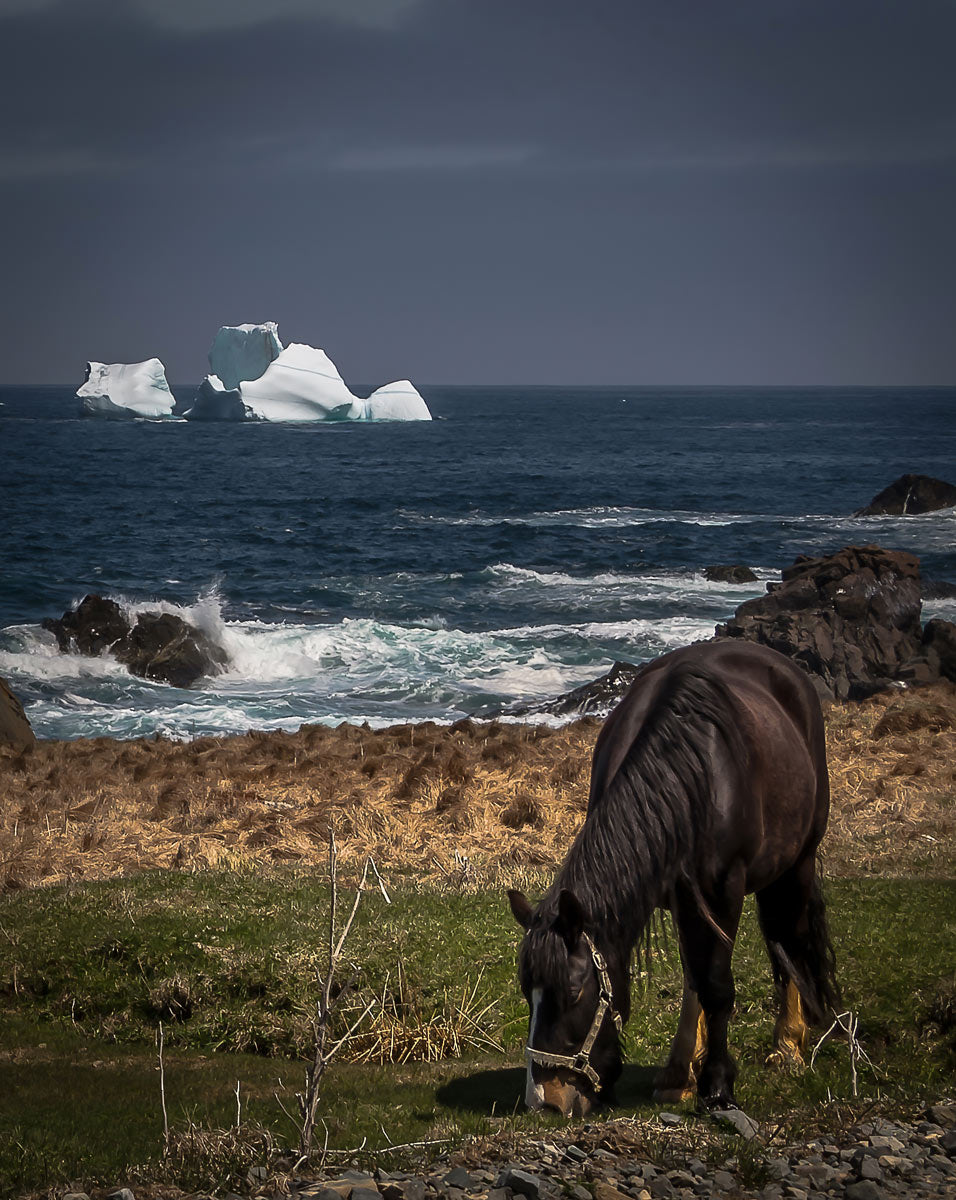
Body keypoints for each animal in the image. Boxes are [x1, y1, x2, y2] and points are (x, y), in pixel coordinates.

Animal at [506, 643, 834, 1118]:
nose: (544, 1101)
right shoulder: (679, 894)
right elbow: (694, 977)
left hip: (798, 862)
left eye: (573, 992)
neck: (688, 782)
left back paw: (788, 1044)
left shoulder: (722, 890)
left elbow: (716, 986)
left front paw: (718, 1083)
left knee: (787, 937)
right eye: (526, 993)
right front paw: (681, 1074)